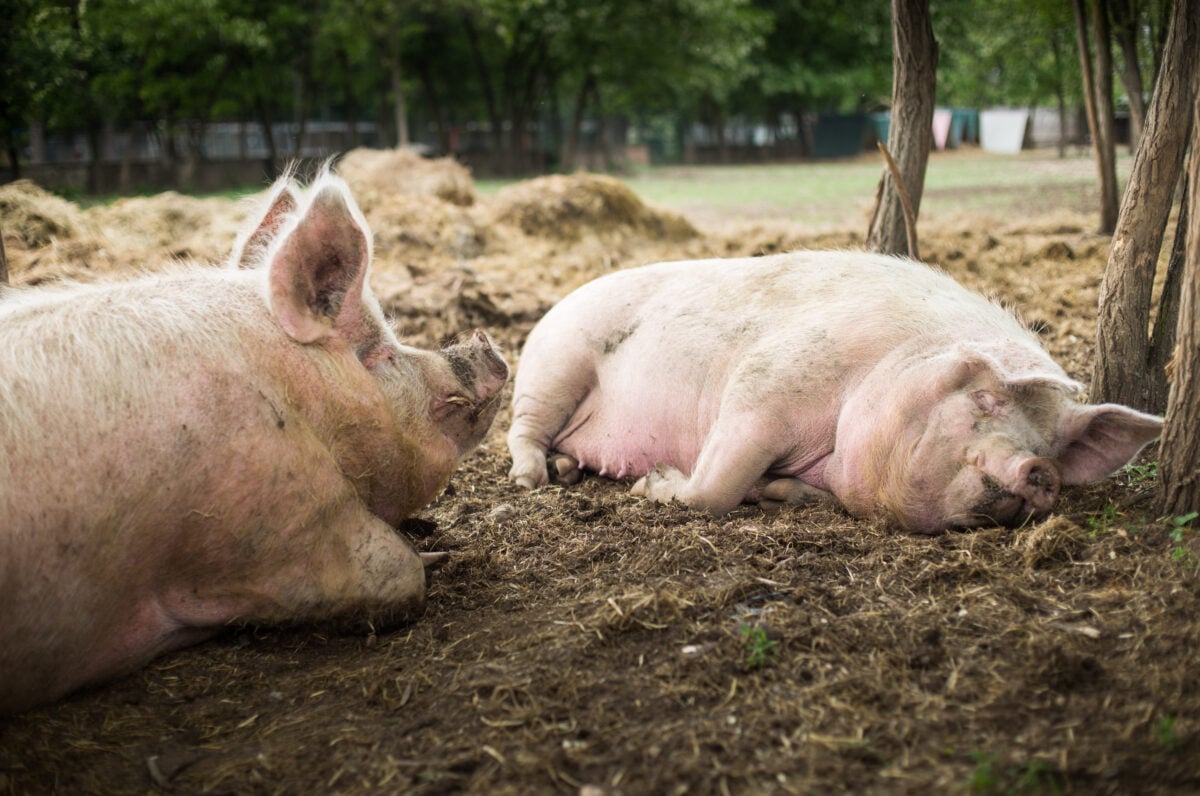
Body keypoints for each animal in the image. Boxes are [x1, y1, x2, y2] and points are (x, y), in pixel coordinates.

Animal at [508, 249, 1161, 535]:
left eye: (1051, 444)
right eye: (986, 400)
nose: (1038, 469)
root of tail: (560, 301)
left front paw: (776, 495)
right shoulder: (761, 388)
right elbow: (714, 489)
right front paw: (652, 485)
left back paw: (567, 469)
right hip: (553, 365)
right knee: (523, 430)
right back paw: (534, 479)